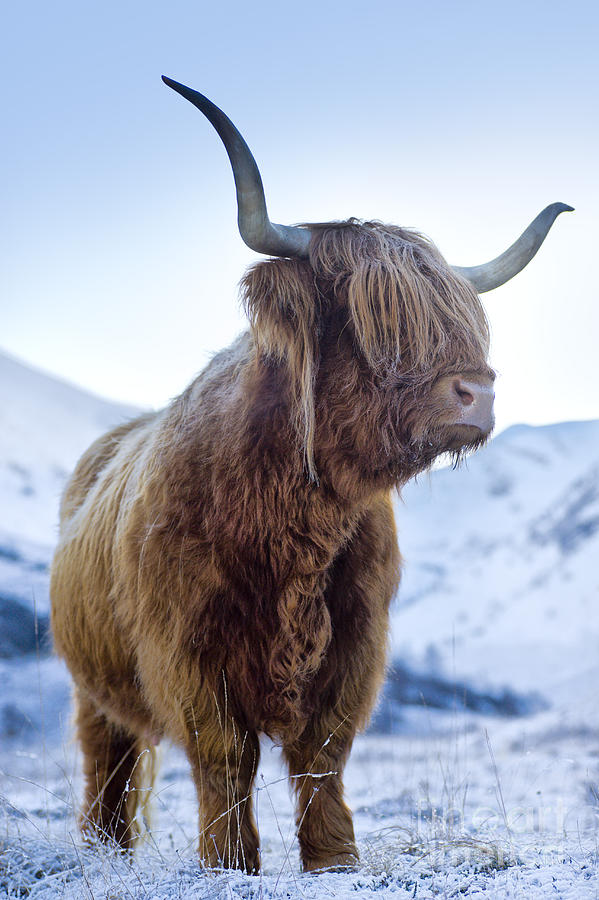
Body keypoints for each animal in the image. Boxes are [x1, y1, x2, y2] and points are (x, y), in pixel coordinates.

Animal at [50, 79, 572, 872]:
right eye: (371, 315)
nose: (477, 394)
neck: (289, 519)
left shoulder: (357, 635)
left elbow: (324, 752)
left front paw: (334, 858)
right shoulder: (185, 643)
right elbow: (225, 753)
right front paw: (230, 862)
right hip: (91, 685)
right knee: (105, 758)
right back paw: (103, 848)